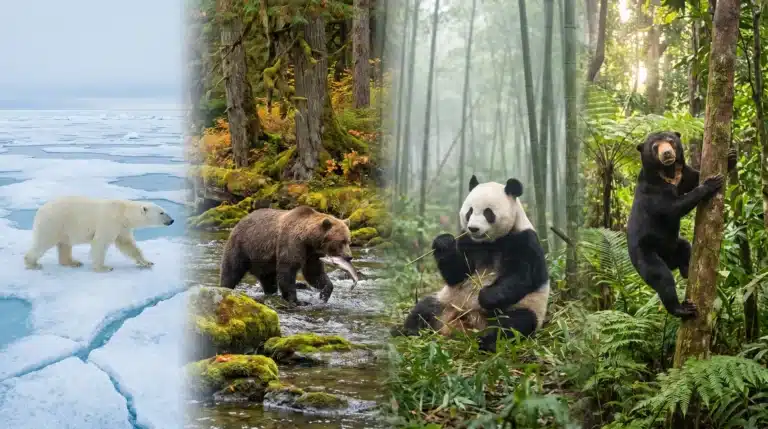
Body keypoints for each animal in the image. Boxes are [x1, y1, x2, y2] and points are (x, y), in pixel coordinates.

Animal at [24, 196, 175, 272]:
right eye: (162, 212)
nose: (172, 220)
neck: (123, 212)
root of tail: (40, 210)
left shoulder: (122, 227)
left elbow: (127, 244)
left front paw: (147, 262)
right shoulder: (110, 221)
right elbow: (100, 242)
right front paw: (104, 267)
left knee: (65, 244)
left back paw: (73, 262)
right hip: (54, 223)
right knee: (43, 243)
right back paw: (33, 264)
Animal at [219, 205, 353, 306]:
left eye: (348, 241)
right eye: (341, 241)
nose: (349, 256)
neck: (308, 240)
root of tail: (240, 221)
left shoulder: (312, 254)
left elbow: (314, 274)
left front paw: (324, 294)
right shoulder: (291, 243)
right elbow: (287, 270)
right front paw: (297, 300)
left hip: (263, 260)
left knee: (268, 279)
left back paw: (271, 293)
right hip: (242, 246)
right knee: (232, 270)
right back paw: (225, 287)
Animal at [391, 175, 550, 352]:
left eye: (488, 212)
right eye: (470, 211)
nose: (473, 228)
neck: (489, 243)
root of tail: (466, 324)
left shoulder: (524, 240)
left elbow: (521, 276)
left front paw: (486, 296)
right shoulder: (467, 240)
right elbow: (456, 273)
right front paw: (444, 242)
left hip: (524, 307)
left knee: (514, 324)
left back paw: (487, 342)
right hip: (446, 301)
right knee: (424, 308)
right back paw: (406, 330)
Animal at [628, 131, 736, 319]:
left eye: (671, 141)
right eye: (655, 147)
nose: (667, 154)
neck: (669, 172)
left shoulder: (684, 175)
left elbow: (694, 178)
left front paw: (731, 156)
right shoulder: (653, 190)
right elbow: (673, 208)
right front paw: (710, 183)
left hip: (675, 245)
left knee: (685, 246)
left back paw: (686, 270)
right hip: (644, 253)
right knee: (661, 277)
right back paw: (682, 309)